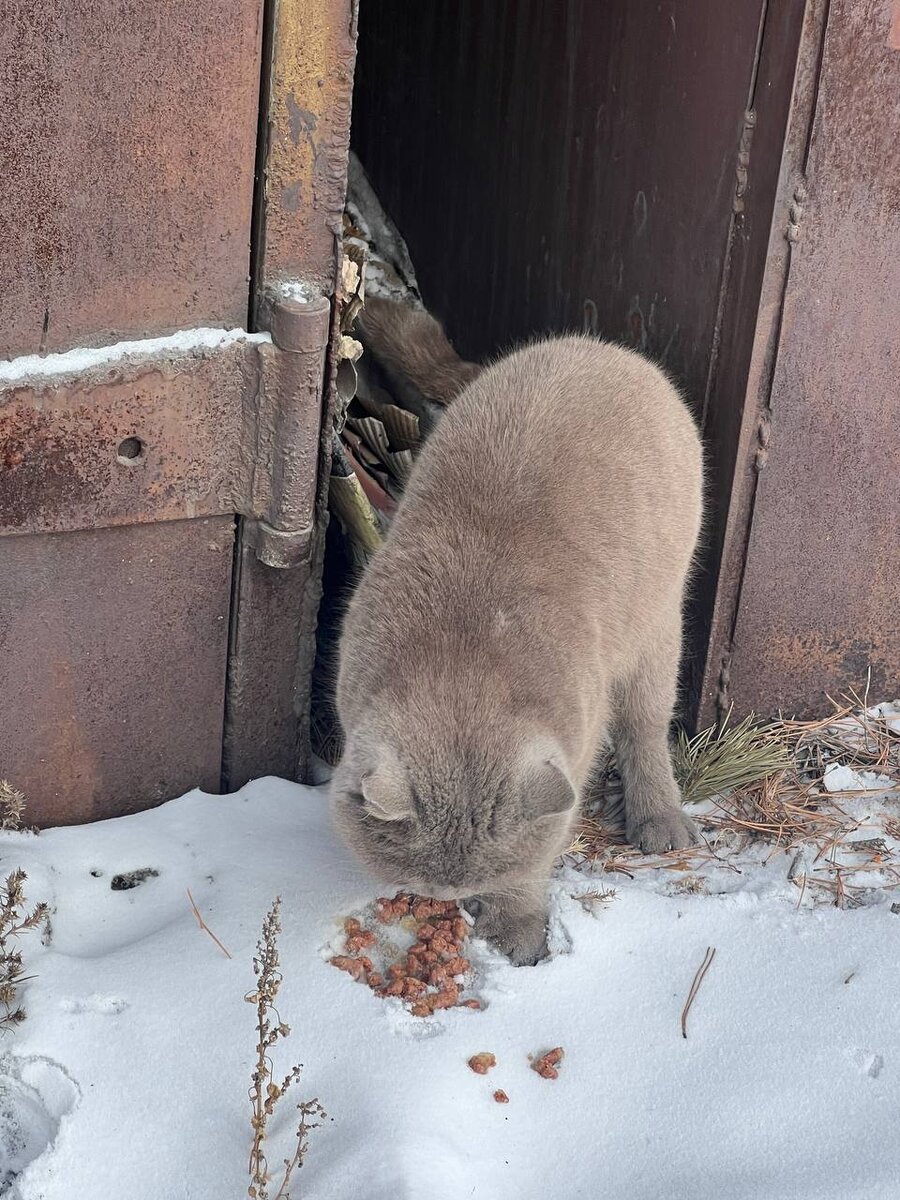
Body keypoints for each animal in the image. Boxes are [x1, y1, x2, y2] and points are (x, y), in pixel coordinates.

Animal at [331, 300, 705, 964]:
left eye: (477, 881)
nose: (449, 901)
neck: (461, 672)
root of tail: (598, 348)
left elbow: (540, 853)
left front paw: (516, 927)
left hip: (660, 620)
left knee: (644, 724)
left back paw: (661, 818)